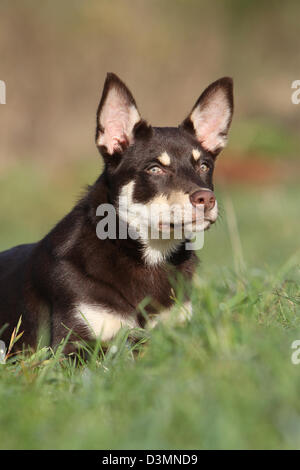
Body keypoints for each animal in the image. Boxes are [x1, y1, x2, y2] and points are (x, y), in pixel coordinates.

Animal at [0, 73, 233, 352]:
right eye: (155, 169)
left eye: (204, 166)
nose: (206, 199)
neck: (148, 256)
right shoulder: (73, 344)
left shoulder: (178, 327)